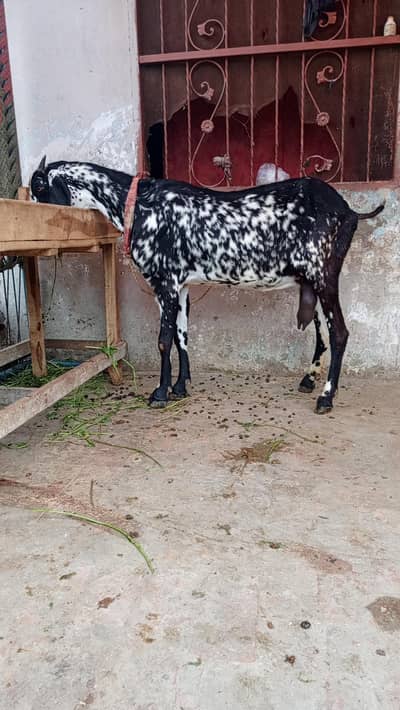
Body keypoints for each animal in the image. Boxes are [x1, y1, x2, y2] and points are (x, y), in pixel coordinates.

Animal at [30, 157, 384, 414]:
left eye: (39, 192)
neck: (139, 207)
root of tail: (349, 211)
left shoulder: (165, 283)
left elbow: (163, 340)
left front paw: (159, 393)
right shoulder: (181, 285)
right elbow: (181, 336)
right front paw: (180, 387)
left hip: (323, 275)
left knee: (339, 333)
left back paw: (326, 397)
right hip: (313, 280)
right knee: (323, 332)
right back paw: (308, 381)